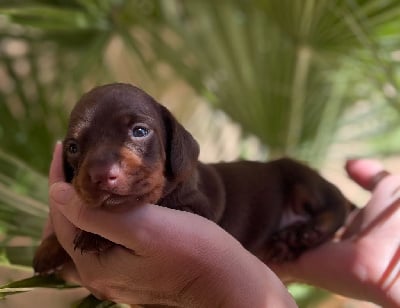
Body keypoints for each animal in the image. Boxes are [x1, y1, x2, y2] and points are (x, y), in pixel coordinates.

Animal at [33, 83, 354, 274]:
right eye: (73, 148)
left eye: (140, 131)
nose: (101, 174)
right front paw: (49, 246)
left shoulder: (197, 210)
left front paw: (93, 234)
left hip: (299, 176)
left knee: (335, 205)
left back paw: (306, 231)